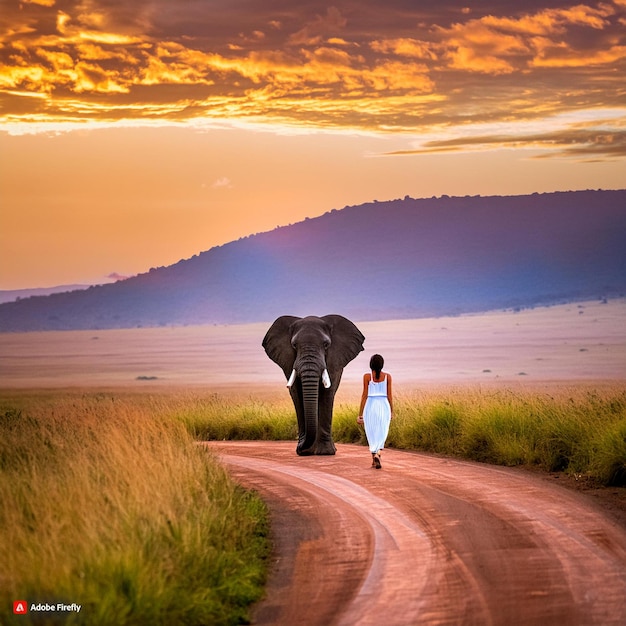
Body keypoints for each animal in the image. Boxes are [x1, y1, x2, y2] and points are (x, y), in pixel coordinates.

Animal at [260, 312, 364, 454]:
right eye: (294, 345)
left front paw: (326, 452)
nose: (299, 447)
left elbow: (327, 392)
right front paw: (305, 452)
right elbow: (296, 393)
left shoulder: (334, 360)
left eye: (326, 345)